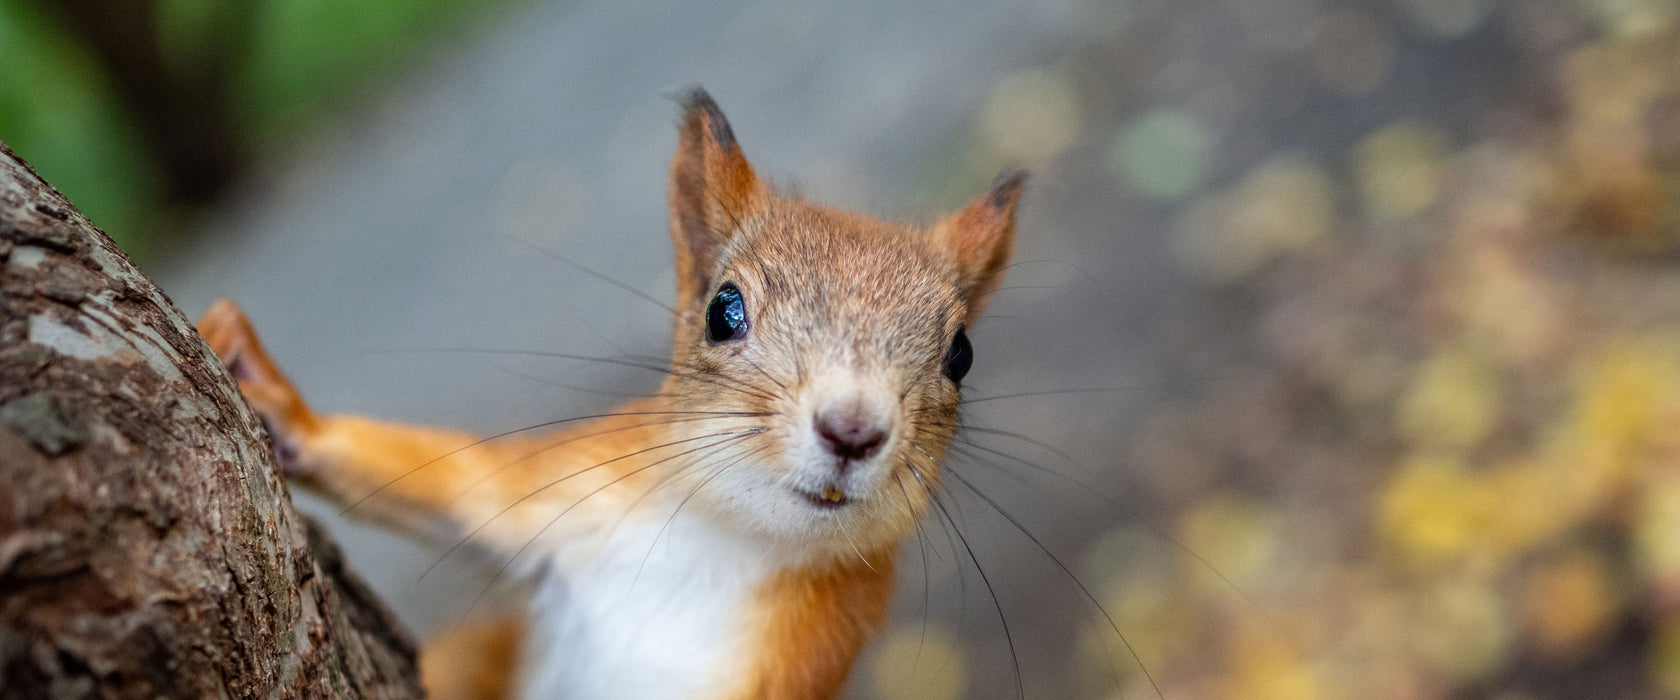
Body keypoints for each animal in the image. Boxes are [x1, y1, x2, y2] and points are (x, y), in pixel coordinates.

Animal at [196, 88, 1021, 698]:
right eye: (724, 309)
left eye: (962, 354)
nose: (852, 430)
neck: (724, 543)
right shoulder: (570, 489)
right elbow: (454, 482)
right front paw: (274, 400)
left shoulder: (805, 661)